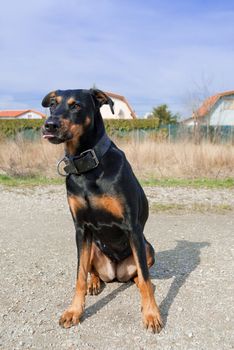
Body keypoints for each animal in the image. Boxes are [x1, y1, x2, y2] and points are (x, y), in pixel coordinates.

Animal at [41, 89, 163, 332]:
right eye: (52, 105)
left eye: (76, 105)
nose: (49, 125)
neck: (87, 168)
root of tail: (115, 274)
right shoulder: (81, 229)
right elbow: (79, 275)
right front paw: (74, 311)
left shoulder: (132, 228)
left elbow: (145, 277)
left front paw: (152, 314)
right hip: (94, 250)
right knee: (92, 271)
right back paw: (95, 282)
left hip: (147, 248)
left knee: (140, 275)